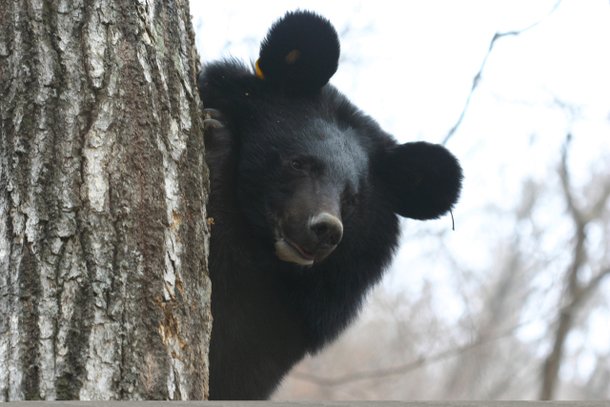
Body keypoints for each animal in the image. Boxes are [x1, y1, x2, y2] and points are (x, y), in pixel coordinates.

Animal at [198, 10, 460, 402]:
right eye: (299, 163)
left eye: (352, 198)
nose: (325, 230)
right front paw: (214, 129)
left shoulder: (298, 316)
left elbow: (236, 355)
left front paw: (216, 141)